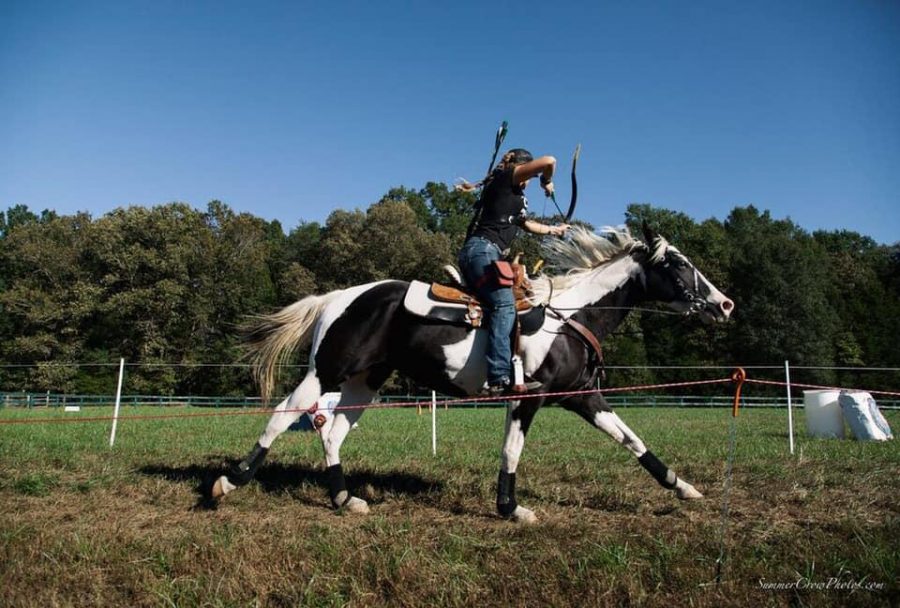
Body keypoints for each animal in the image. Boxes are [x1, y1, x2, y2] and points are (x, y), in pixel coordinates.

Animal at [211, 224, 734, 523]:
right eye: (679, 263)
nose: (724, 304)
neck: (570, 315)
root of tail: (338, 297)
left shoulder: (582, 397)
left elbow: (632, 440)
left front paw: (683, 487)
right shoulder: (528, 397)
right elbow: (511, 451)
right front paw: (511, 509)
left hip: (364, 382)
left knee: (332, 432)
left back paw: (345, 499)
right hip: (327, 371)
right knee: (284, 415)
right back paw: (229, 483)